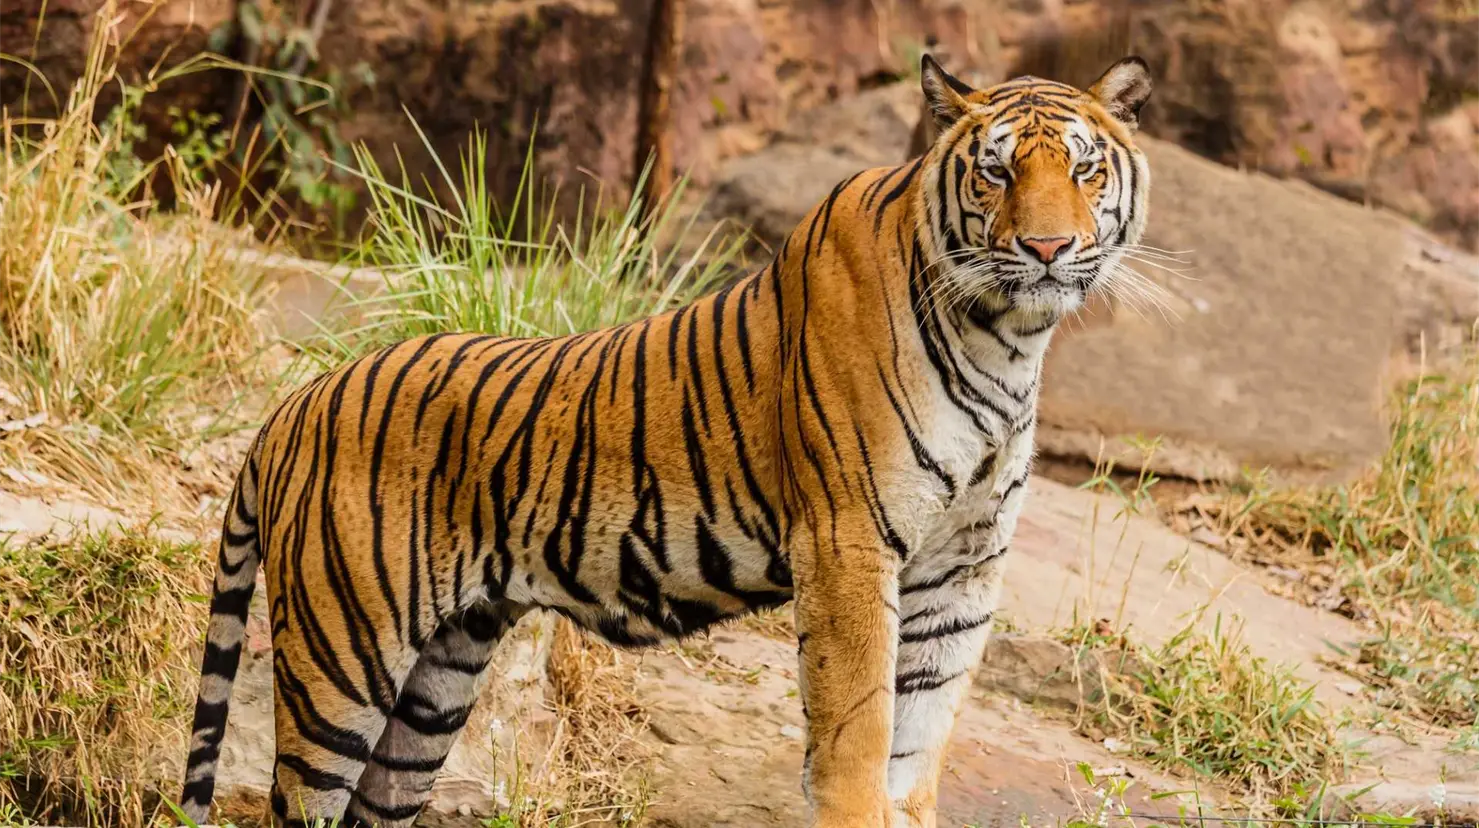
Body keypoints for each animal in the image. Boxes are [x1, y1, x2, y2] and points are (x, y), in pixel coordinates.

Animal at [179, 53, 1152, 828]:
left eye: (1083, 169)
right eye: (994, 173)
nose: (1046, 247)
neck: (1007, 339)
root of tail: (292, 405)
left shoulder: (963, 567)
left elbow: (918, 739)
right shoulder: (847, 543)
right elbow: (858, 730)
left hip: (437, 683)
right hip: (341, 659)